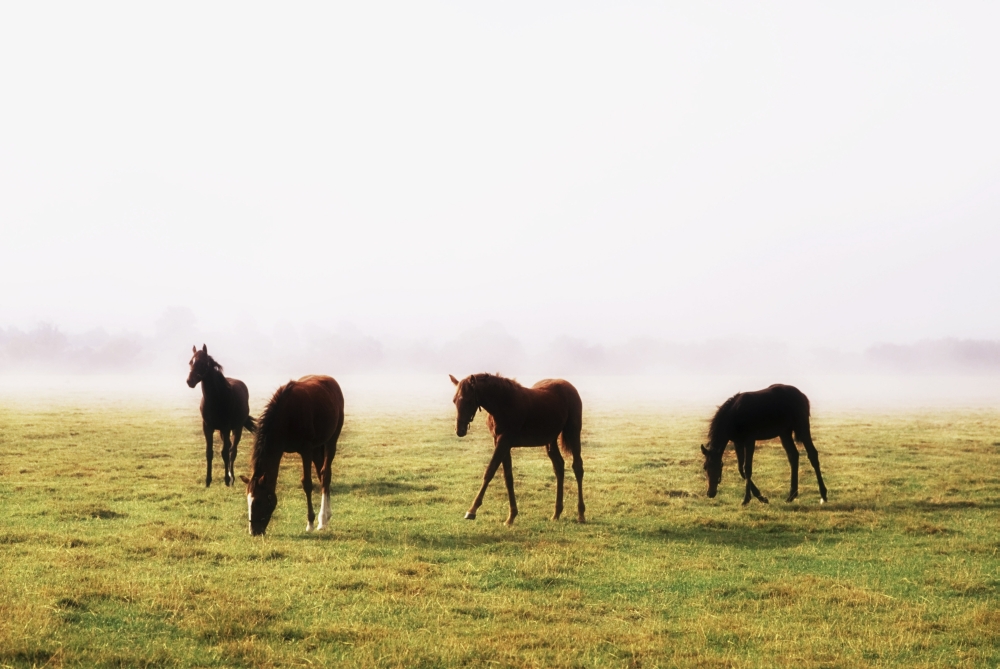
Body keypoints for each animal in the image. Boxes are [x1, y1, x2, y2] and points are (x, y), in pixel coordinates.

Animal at [186, 344, 255, 487]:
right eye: (191, 362)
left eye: (203, 363)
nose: (190, 381)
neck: (216, 399)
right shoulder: (207, 428)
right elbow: (209, 453)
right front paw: (207, 481)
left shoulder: (226, 427)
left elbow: (224, 453)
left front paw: (227, 480)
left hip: (237, 428)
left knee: (232, 451)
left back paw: (232, 477)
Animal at [240, 375, 344, 536]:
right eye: (248, 501)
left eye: (258, 501)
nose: (254, 531)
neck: (287, 416)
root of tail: (330, 380)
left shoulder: (306, 450)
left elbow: (307, 483)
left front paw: (310, 522)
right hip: (317, 448)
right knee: (322, 475)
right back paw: (325, 517)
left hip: (331, 440)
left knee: (325, 474)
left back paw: (322, 519)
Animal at [449, 373, 585, 526]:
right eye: (454, 401)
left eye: (468, 401)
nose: (459, 430)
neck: (503, 403)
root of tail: (569, 386)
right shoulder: (500, 443)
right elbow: (508, 477)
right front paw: (511, 516)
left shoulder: (504, 441)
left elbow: (490, 471)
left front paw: (472, 510)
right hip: (551, 440)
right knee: (559, 467)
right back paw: (556, 513)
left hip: (573, 432)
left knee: (577, 467)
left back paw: (581, 514)